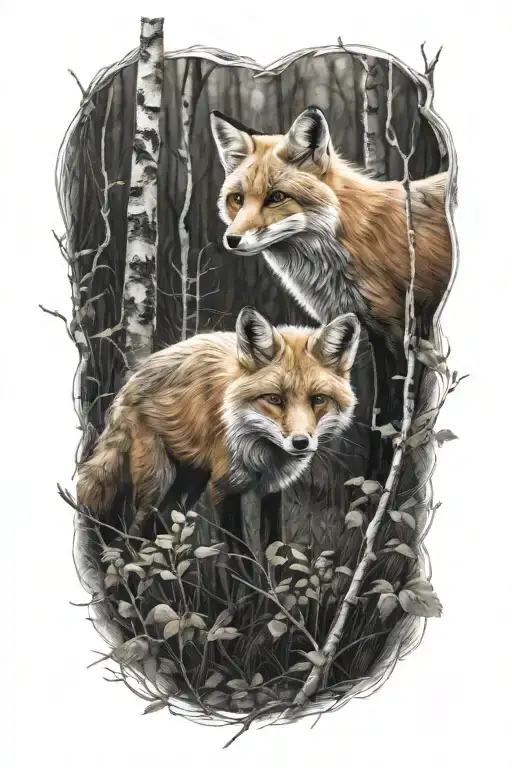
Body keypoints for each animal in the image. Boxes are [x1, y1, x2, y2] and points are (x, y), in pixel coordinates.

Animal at [76, 307, 361, 530]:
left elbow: (273, 550)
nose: (300, 442)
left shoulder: (272, 493)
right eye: (274, 399)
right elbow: (240, 557)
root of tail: (132, 382)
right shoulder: (224, 487)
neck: (262, 454)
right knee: (133, 533)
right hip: (157, 484)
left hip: (188, 485)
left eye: (318, 399)